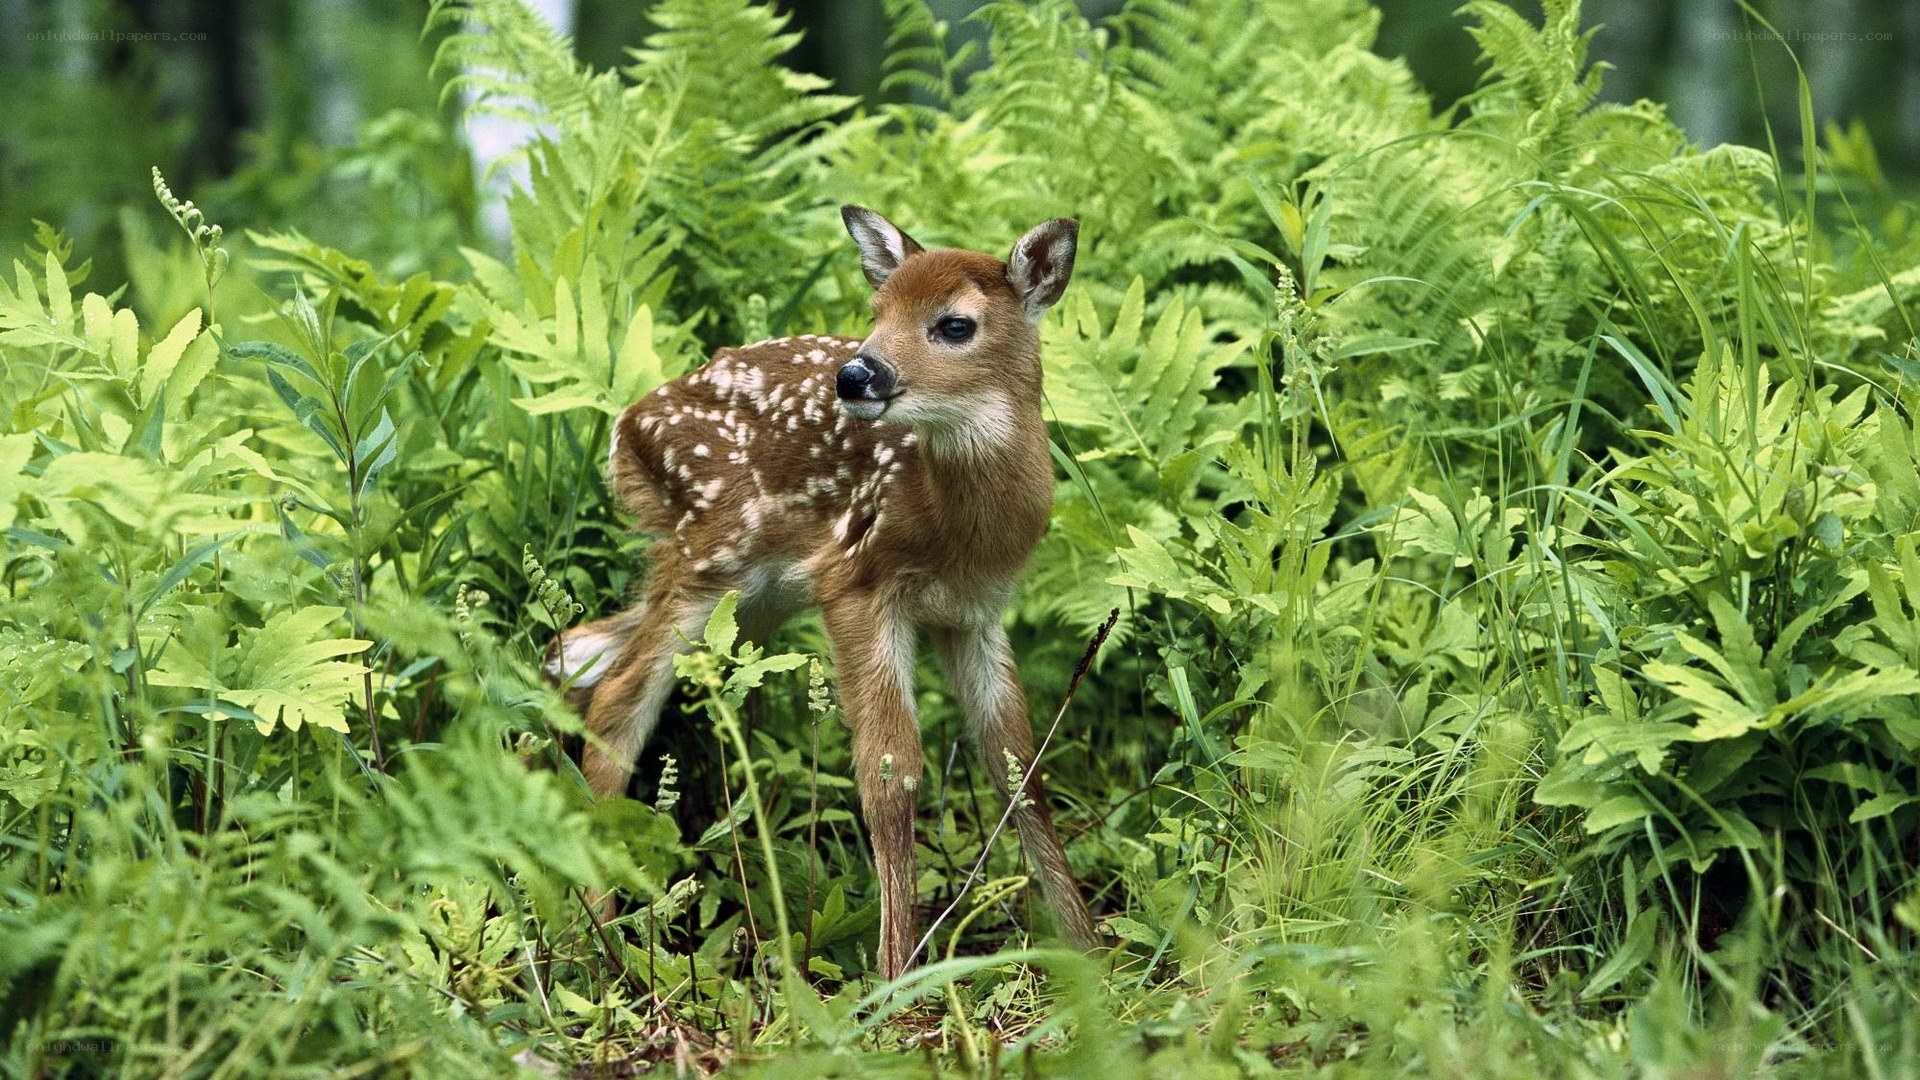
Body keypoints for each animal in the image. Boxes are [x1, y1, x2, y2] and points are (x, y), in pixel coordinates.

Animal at [543, 206, 1098, 979]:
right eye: (877, 310)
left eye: (955, 324)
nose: (858, 374)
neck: (954, 529)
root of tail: (624, 428)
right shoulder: (857, 583)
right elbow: (891, 772)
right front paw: (896, 975)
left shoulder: (975, 613)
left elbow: (1018, 763)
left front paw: (1091, 950)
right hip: (712, 551)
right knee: (620, 697)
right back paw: (600, 936)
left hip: (754, 595)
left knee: (577, 649)